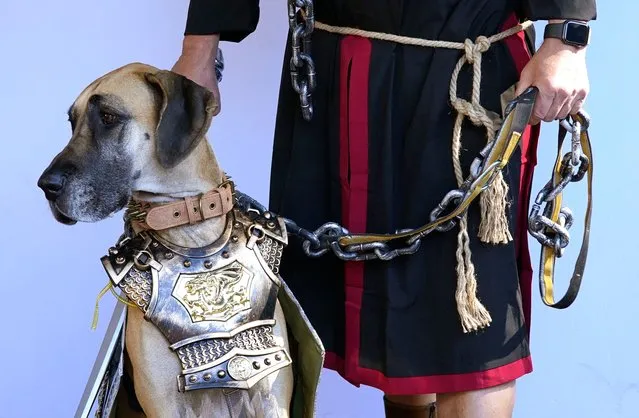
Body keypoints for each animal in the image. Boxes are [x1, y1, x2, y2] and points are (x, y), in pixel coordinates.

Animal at [36, 62, 320, 418]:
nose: (46, 186)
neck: (188, 224)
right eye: (73, 122)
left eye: (108, 117)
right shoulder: (165, 406)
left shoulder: (271, 399)